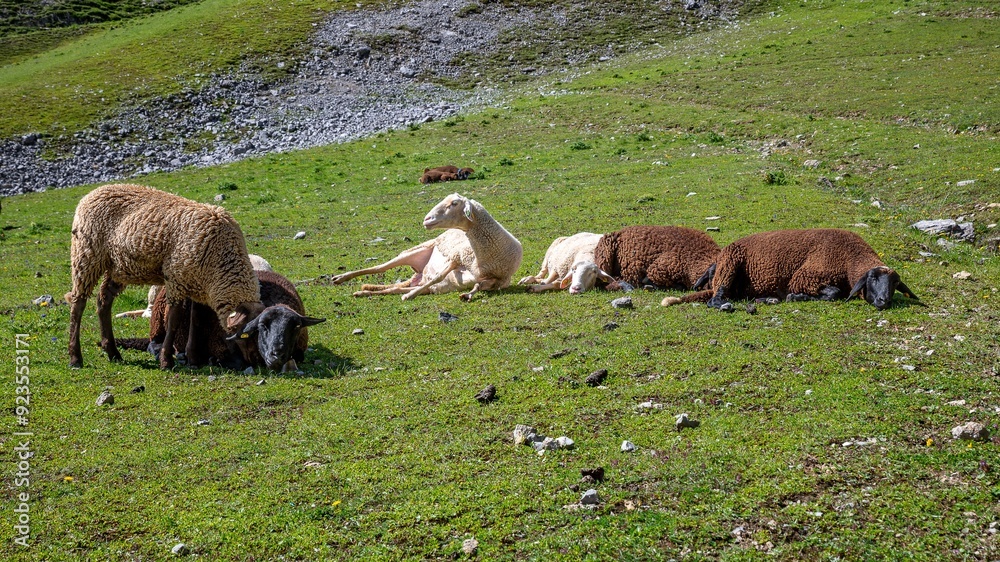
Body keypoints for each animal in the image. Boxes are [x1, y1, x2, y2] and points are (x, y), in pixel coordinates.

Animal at [331, 193, 522, 301]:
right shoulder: (456, 257)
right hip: (416, 250)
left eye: (454, 204)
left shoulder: (498, 280)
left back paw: (365, 293)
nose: (427, 219)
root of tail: (418, 275)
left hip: (428, 287)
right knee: (380, 268)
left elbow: (478, 286)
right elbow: (438, 276)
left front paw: (468, 295)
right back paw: (340, 278)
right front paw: (409, 297)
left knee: (396, 288)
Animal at [660, 228, 918, 310]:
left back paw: (767, 299)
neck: (848, 258)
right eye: (872, 277)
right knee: (715, 299)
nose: (884, 301)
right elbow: (833, 294)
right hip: (729, 266)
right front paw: (795, 297)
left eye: (896, 283)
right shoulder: (806, 277)